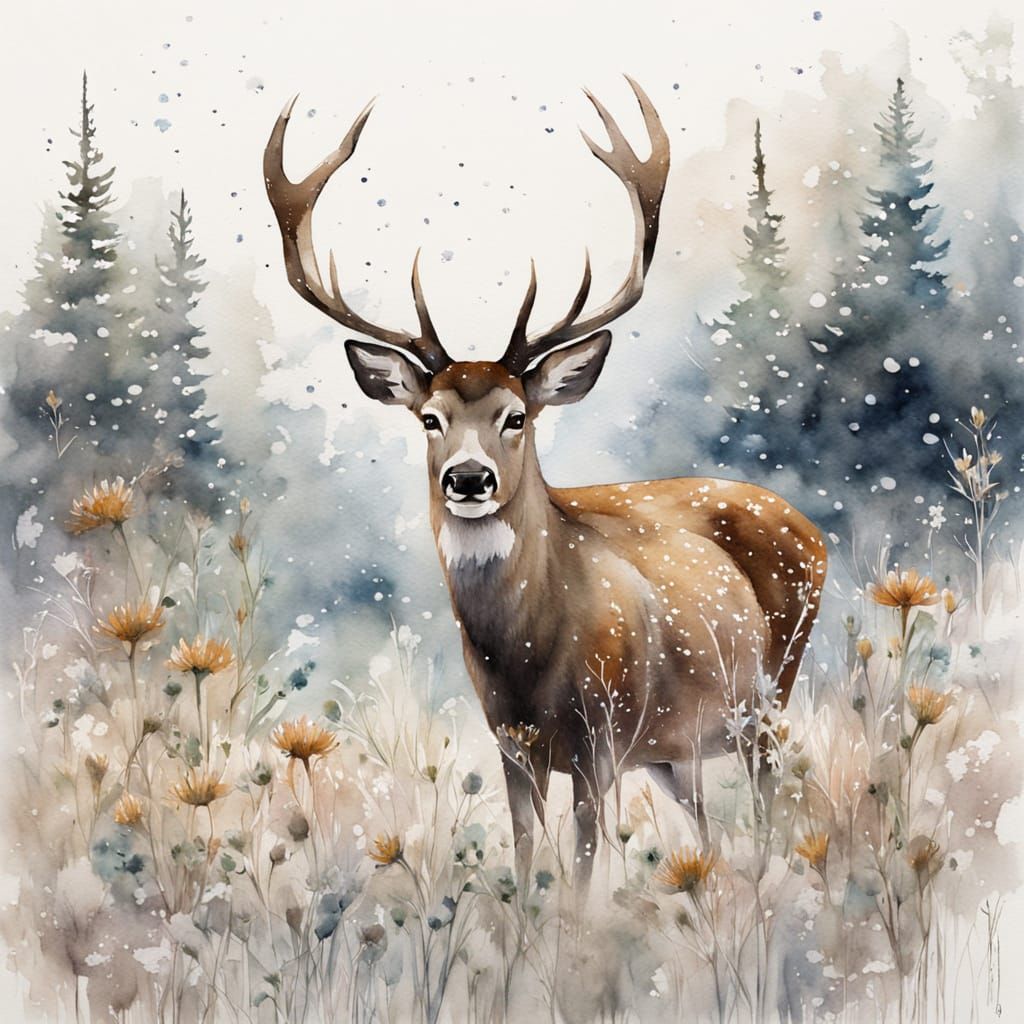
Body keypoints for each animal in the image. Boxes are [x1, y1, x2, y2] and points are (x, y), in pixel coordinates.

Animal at [264, 79, 828, 898]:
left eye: (516, 415)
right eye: (430, 417)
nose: (469, 478)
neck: (531, 656)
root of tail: (811, 527)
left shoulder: (601, 739)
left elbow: (584, 876)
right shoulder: (511, 744)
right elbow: (529, 860)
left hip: (767, 699)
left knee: (774, 813)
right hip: (677, 746)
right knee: (716, 835)